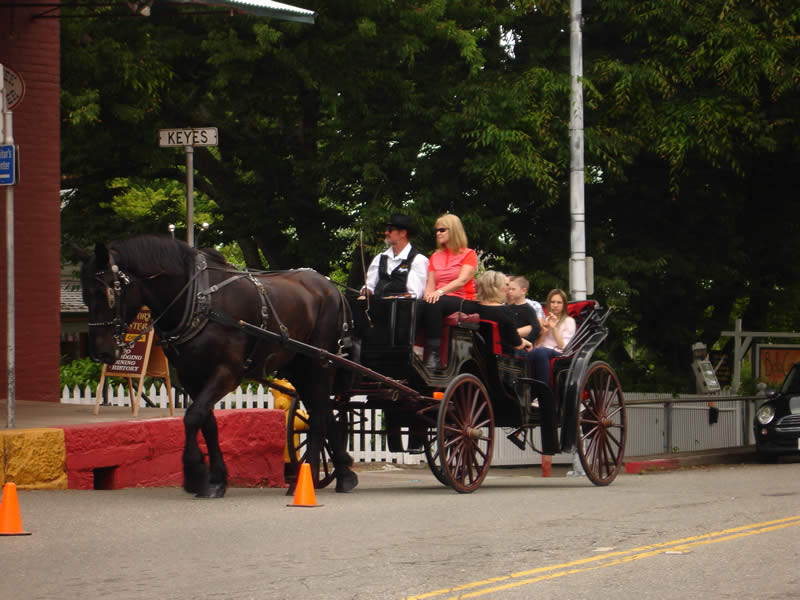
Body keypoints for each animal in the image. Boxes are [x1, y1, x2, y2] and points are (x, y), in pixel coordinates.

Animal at [76, 233, 358, 496]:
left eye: (107, 292)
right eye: (85, 296)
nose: (100, 352)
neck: (197, 301)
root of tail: (332, 288)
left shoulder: (228, 372)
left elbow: (193, 417)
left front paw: (195, 472)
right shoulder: (191, 376)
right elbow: (206, 421)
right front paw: (215, 478)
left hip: (319, 364)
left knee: (319, 417)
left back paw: (307, 476)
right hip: (298, 368)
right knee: (324, 413)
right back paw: (344, 474)